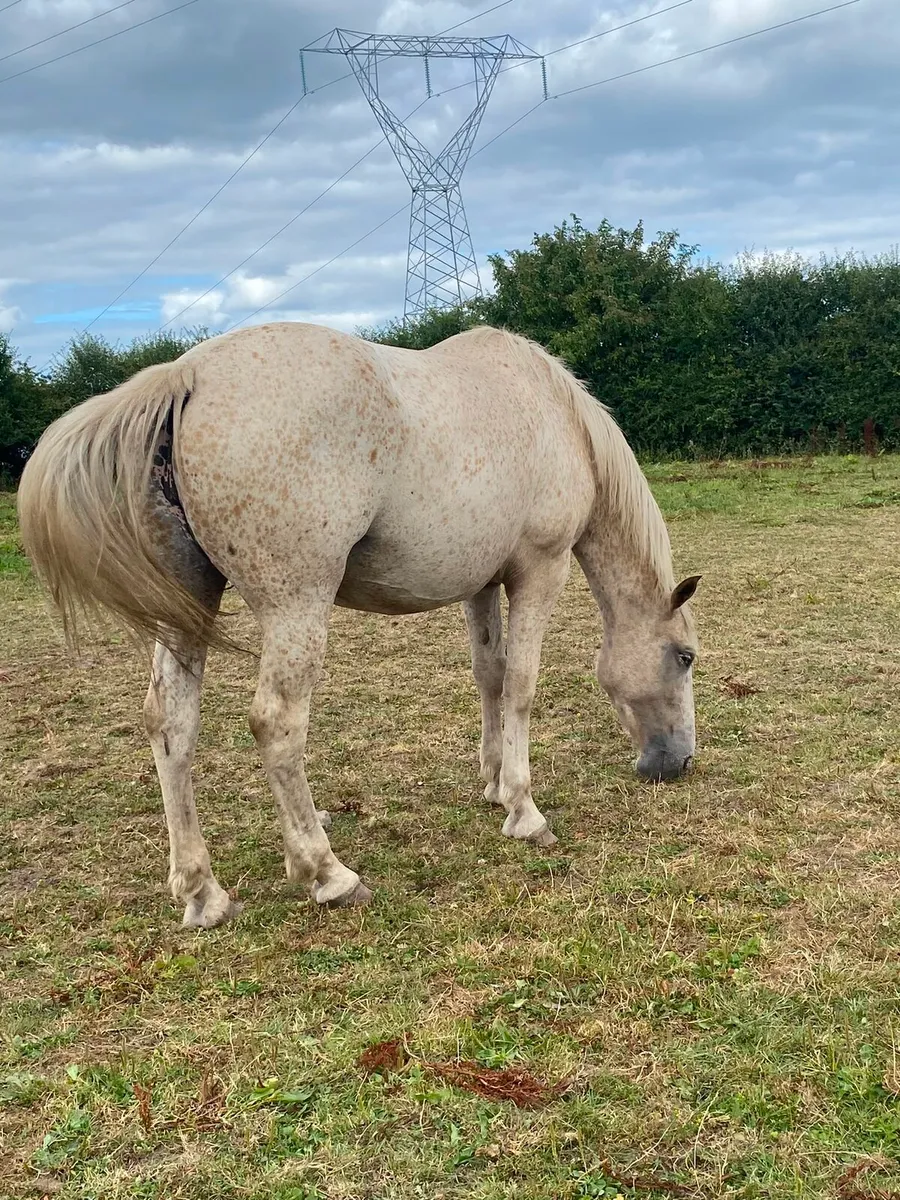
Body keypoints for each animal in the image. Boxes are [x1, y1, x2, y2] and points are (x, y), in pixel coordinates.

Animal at [17, 322, 700, 928]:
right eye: (685, 657)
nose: (676, 763)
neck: (555, 414)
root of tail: (185, 377)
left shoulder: (480, 584)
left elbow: (490, 674)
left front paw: (491, 782)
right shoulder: (541, 569)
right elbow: (522, 687)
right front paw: (524, 809)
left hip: (187, 611)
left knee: (171, 725)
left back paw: (202, 892)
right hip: (297, 606)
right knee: (276, 723)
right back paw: (327, 873)